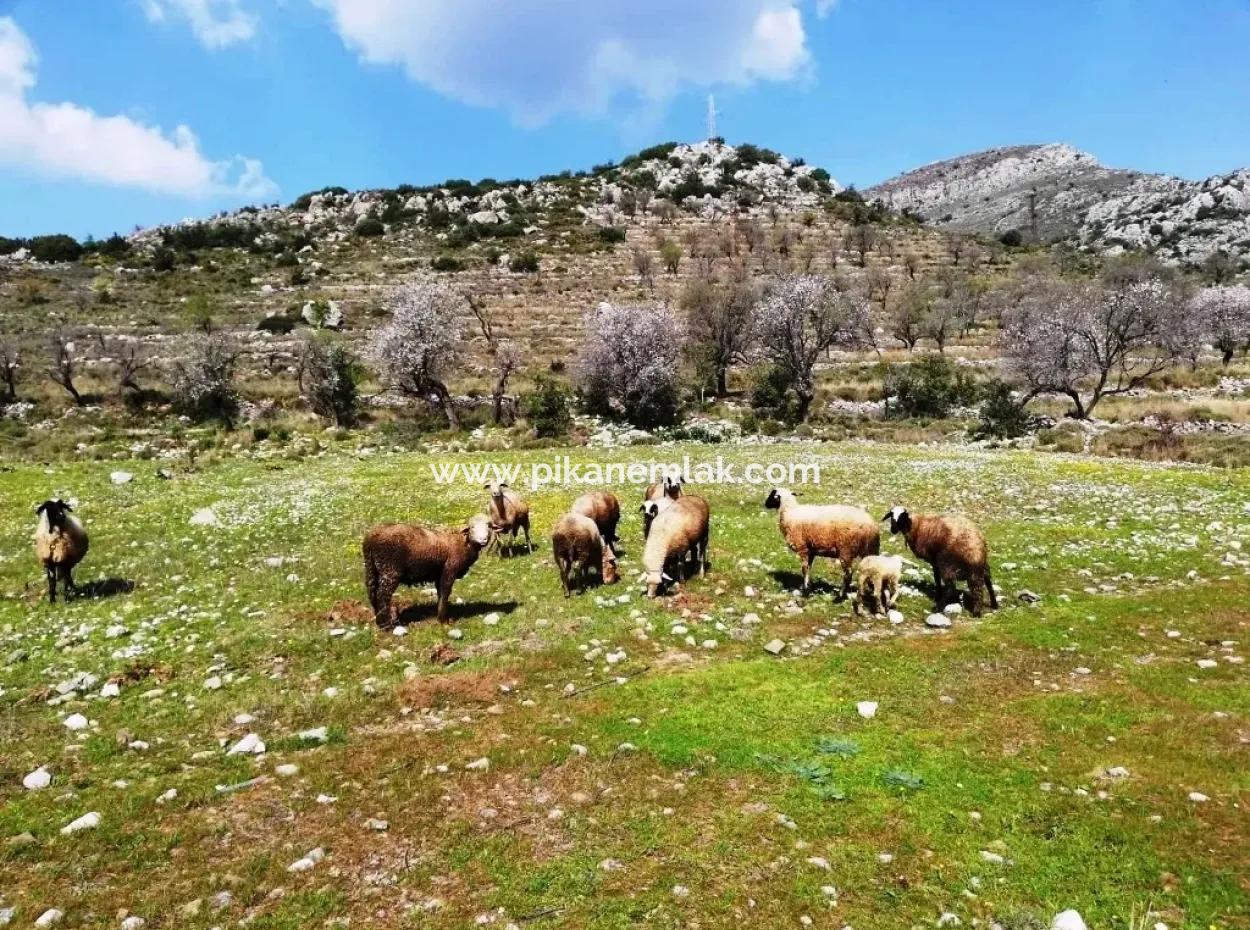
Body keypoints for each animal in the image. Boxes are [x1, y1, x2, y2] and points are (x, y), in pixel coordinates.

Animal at [362, 512, 492, 627]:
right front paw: (443, 620)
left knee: (372, 592)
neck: (463, 542)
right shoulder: (449, 569)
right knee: (382, 595)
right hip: (390, 569)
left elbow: (440, 593)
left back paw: (378, 619)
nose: (483, 539)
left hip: (372, 567)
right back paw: (386, 624)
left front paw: (440, 615)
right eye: (472, 527)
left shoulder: (439, 573)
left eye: (489, 527)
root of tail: (370, 538)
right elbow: (445, 592)